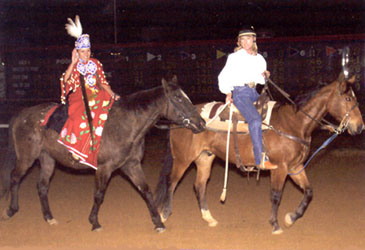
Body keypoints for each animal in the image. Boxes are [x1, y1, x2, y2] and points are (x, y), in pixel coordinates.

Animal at [0, 76, 205, 232]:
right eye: (178, 98)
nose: (201, 122)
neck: (125, 124)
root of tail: (22, 115)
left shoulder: (131, 165)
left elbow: (146, 191)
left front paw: (158, 222)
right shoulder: (104, 168)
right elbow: (99, 194)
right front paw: (95, 222)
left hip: (47, 159)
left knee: (42, 186)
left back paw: (49, 217)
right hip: (27, 157)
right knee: (15, 177)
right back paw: (10, 210)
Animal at [155, 73, 362, 234]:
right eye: (348, 99)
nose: (360, 126)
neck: (294, 123)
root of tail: (180, 121)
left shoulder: (295, 166)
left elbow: (309, 192)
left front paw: (291, 218)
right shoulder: (280, 168)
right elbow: (276, 195)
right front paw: (276, 224)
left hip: (204, 158)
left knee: (199, 186)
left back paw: (209, 218)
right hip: (182, 159)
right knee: (172, 182)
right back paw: (163, 215)